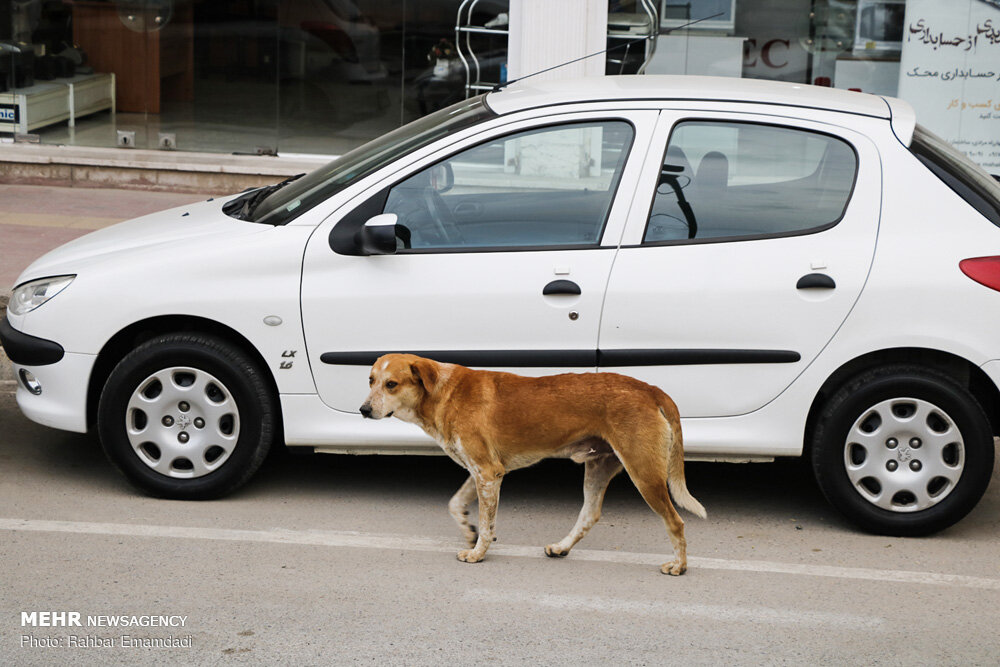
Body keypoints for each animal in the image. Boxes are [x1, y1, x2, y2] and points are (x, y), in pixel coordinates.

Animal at [360, 352, 704, 576]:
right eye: (371, 380)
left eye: (391, 384)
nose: (363, 410)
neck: (444, 391)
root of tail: (651, 389)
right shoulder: (481, 471)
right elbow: (456, 504)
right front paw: (469, 531)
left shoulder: (488, 473)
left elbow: (486, 523)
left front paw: (478, 553)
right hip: (599, 468)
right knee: (589, 515)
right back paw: (562, 547)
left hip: (644, 474)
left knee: (676, 522)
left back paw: (679, 566)